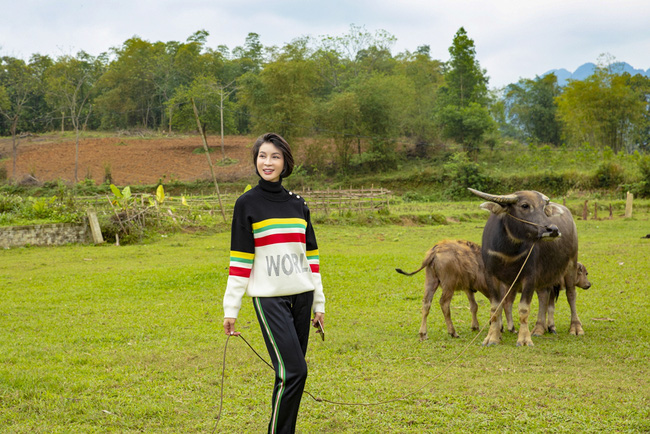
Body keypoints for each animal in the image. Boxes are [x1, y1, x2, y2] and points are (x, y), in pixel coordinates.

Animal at [466, 188, 576, 348]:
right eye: (524, 205)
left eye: (544, 207)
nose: (553, 230)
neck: (508, 251)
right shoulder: (490, 275)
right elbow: (495, 307)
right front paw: (492, 337)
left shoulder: (529, 276)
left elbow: (524, 309)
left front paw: (524, 339)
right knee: (544, 295)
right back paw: (539, 328)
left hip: (572, 264)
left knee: (571, 294)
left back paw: (575, 328)